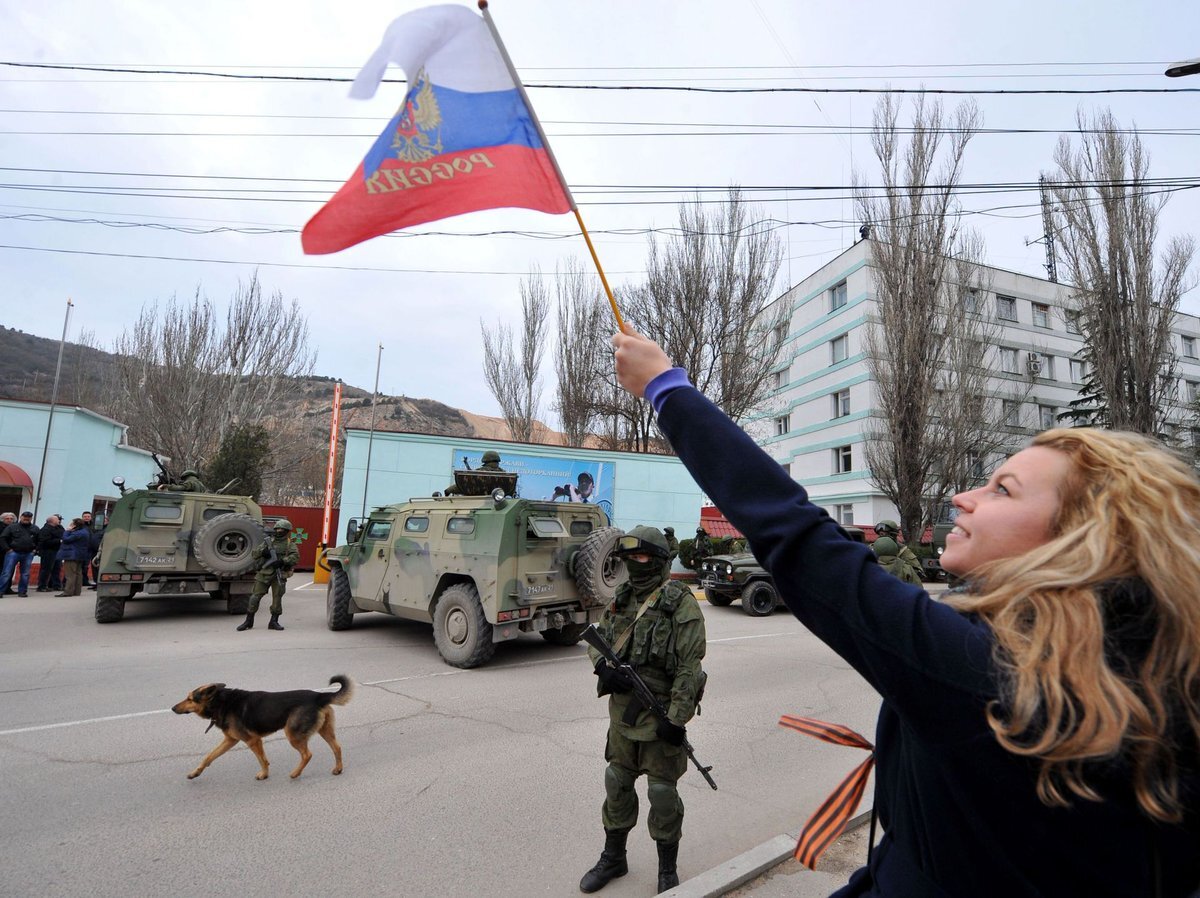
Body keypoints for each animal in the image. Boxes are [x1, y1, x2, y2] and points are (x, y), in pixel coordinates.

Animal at [171, 672, 352, 777]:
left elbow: (262, 760)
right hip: (324, 730)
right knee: (337, 747)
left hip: (292, 734)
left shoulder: (252, 741)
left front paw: (264, 774)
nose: (172, 708)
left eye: (190, 699)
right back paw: (338, 769)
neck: (220, 702)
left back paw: (295, 773)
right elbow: (209, 756)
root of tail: (318, 696)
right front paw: (195, 772)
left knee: (307, 755)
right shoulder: (230, 740)